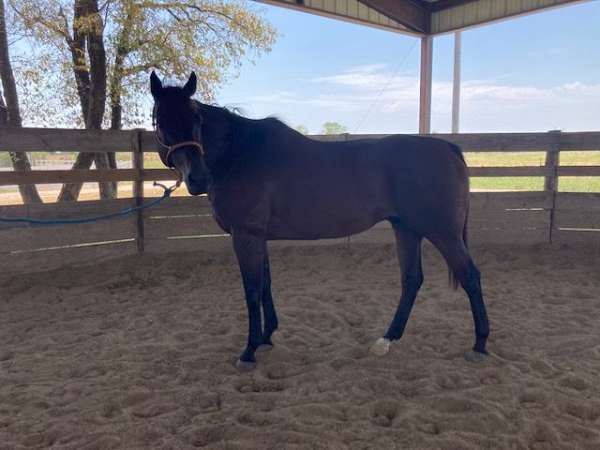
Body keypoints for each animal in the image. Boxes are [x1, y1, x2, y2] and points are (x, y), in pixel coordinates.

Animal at [149, 72, 488, 370]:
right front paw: (266, 337)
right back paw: (387, 340)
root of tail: (448, 148)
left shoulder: (245, 236)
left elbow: (252, 290)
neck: (239, 154)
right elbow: (266, 284)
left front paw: (248, 352)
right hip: (407, 228)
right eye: (162, 121)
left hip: (442, 233)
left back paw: (479, 345)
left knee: (469, 276)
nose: (198, 179)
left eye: (195, 119)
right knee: (411, 279)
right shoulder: (258, 237)